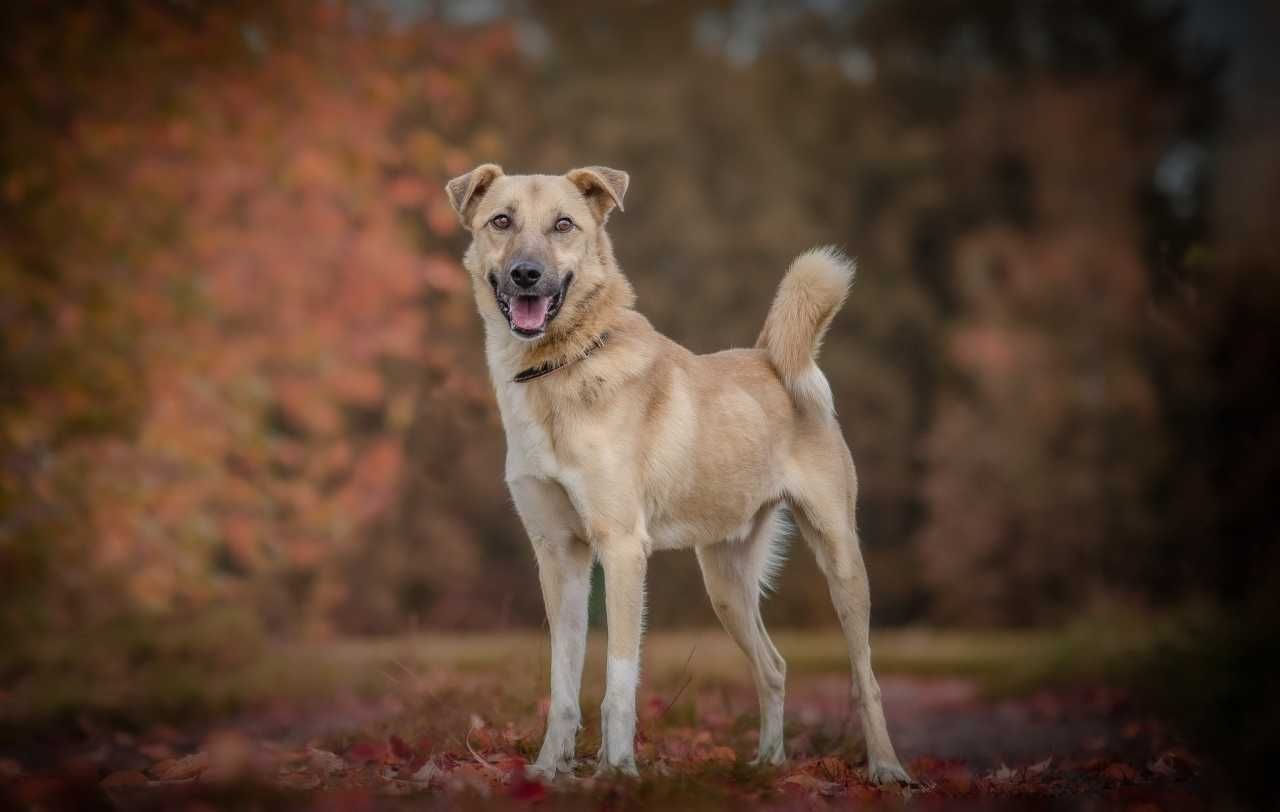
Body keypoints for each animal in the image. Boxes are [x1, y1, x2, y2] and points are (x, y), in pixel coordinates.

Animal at [450, 161, 911, 778]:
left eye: (563, 225)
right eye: (501, 221)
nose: (527, 275)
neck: (559, 370)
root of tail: (771, 356)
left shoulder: (622, 549)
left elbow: (618, 681)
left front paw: (617, 772)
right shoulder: (558, 555)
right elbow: (563, 683)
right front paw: (549, 769)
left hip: (840, 557)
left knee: (866, 677)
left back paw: (886, 767)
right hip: (725, 583)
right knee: (774, 666)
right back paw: (768, 764)